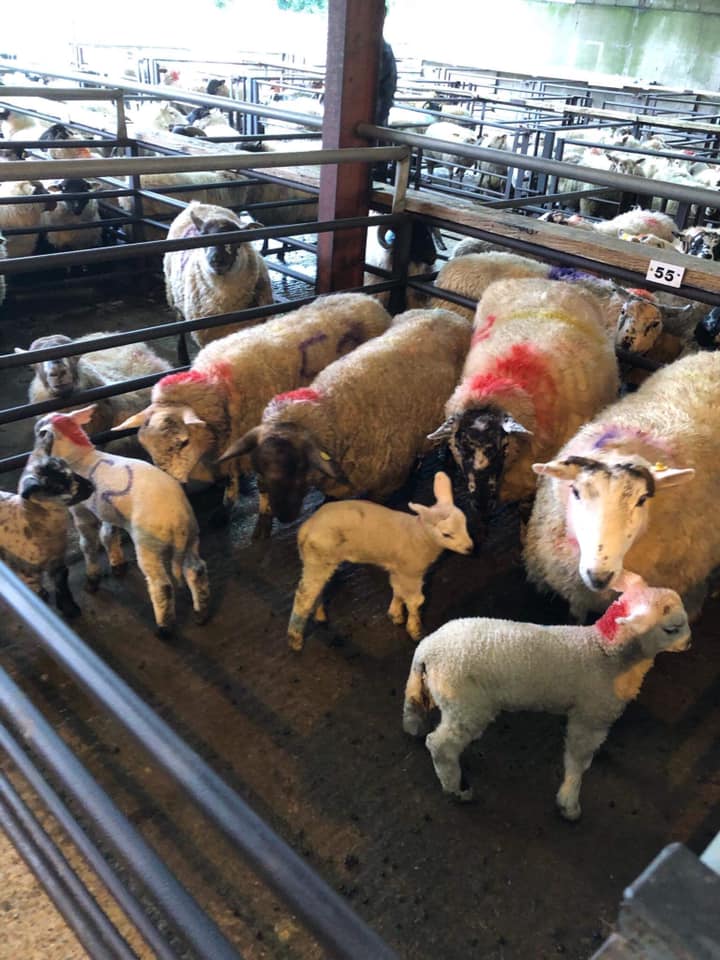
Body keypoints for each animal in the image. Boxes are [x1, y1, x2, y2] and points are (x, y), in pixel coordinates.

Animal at [0, 454, 94, 618]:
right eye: (57, 486)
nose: (91, 486)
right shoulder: (27, 571)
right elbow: (35, 593)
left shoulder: (58, 559)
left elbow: (62, 582)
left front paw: (70, 609)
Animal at [33, 406, 210, 635]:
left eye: (39, 432)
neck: (81, 458)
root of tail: (178, 521)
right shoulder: (108, 510)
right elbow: (108, 535)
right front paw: (117, 564)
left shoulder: (81, 511)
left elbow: (88, 545)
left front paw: (92, 581)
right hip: (192, 536)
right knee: (196, 570)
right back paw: (201, 613)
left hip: (148, 544)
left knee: (161, 585)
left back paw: (164, 628)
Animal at [218, 308, 472, 533]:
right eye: (259, 468)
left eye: (299, 467)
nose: (284, 516)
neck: (334, 411)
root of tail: (446, 312)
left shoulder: (384, 485)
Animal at [287, 471, 473, 650]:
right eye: (446, 534)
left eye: (465, 524)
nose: (470, 548)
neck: (419, 536)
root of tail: (305, 528)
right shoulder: (411, 571)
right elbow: (415, 601)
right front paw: (415, 630)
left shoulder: (399, 569)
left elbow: (398, 590)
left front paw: (395, 614)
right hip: (317, 558)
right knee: (304, 595)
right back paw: (295, 639)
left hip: (320, 560)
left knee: (317, 588)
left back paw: (319, 616)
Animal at [402, 577, 690, 820]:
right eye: (671, 629)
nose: (688, 644)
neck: (605, 653)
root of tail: (427, 649)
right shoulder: (589, 715)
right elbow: (577, 759)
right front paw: (569, 802)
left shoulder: (593, 715)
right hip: (466, 702)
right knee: (440, 745)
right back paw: (456, 790)